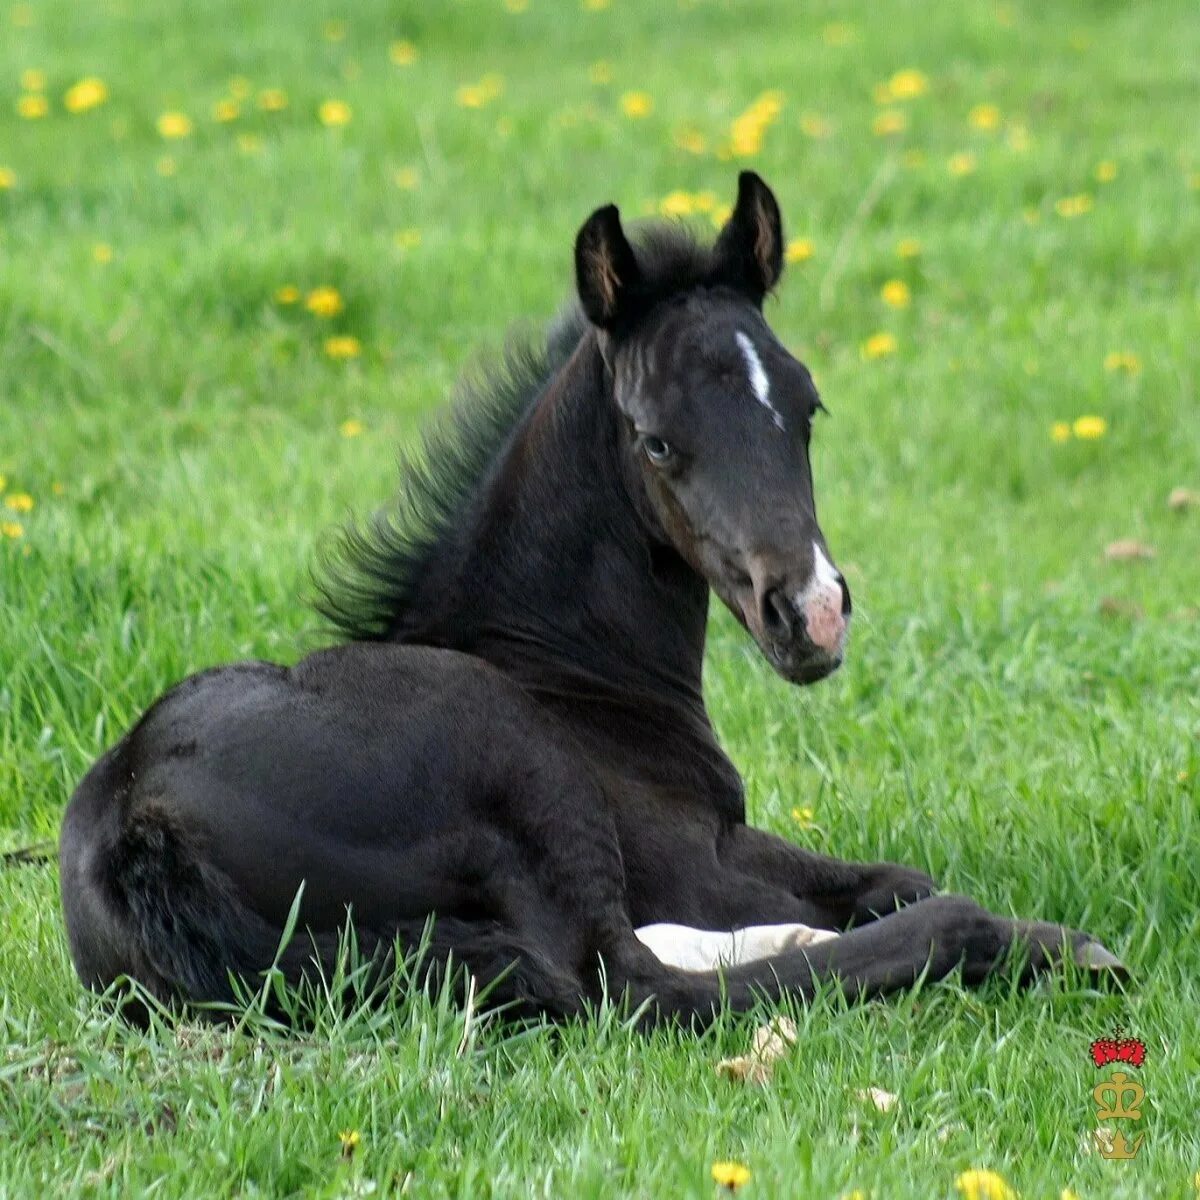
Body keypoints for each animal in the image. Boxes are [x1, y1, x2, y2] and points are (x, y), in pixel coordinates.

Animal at [56, 174, 1123, 1027]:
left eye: (807, 405)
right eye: (655, 439)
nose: (811, 614)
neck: (565, 670)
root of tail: (137, 828)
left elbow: (883, 879)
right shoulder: (692, 858)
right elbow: (892, 891)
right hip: (523, 767)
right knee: (630, 981)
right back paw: (1032, 945)